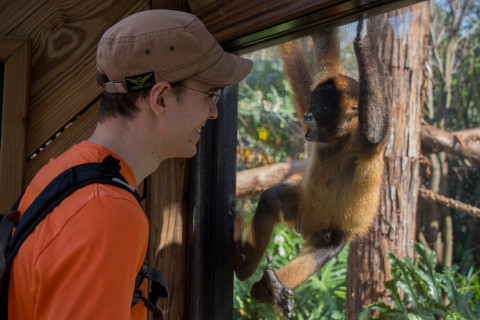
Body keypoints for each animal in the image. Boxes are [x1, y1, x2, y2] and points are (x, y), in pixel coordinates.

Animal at [234, 16, 388, 316]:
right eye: (313, 103)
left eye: (320, 107)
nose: (306, 115)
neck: (339, 141)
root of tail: (306, 228)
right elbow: (326, 48)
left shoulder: (363, 145)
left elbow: (374, 134)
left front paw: (363, 40)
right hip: (302, 208)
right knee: (271, 199)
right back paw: (253, 276)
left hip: (328, 229)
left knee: (324, 249)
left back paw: (264, 286)